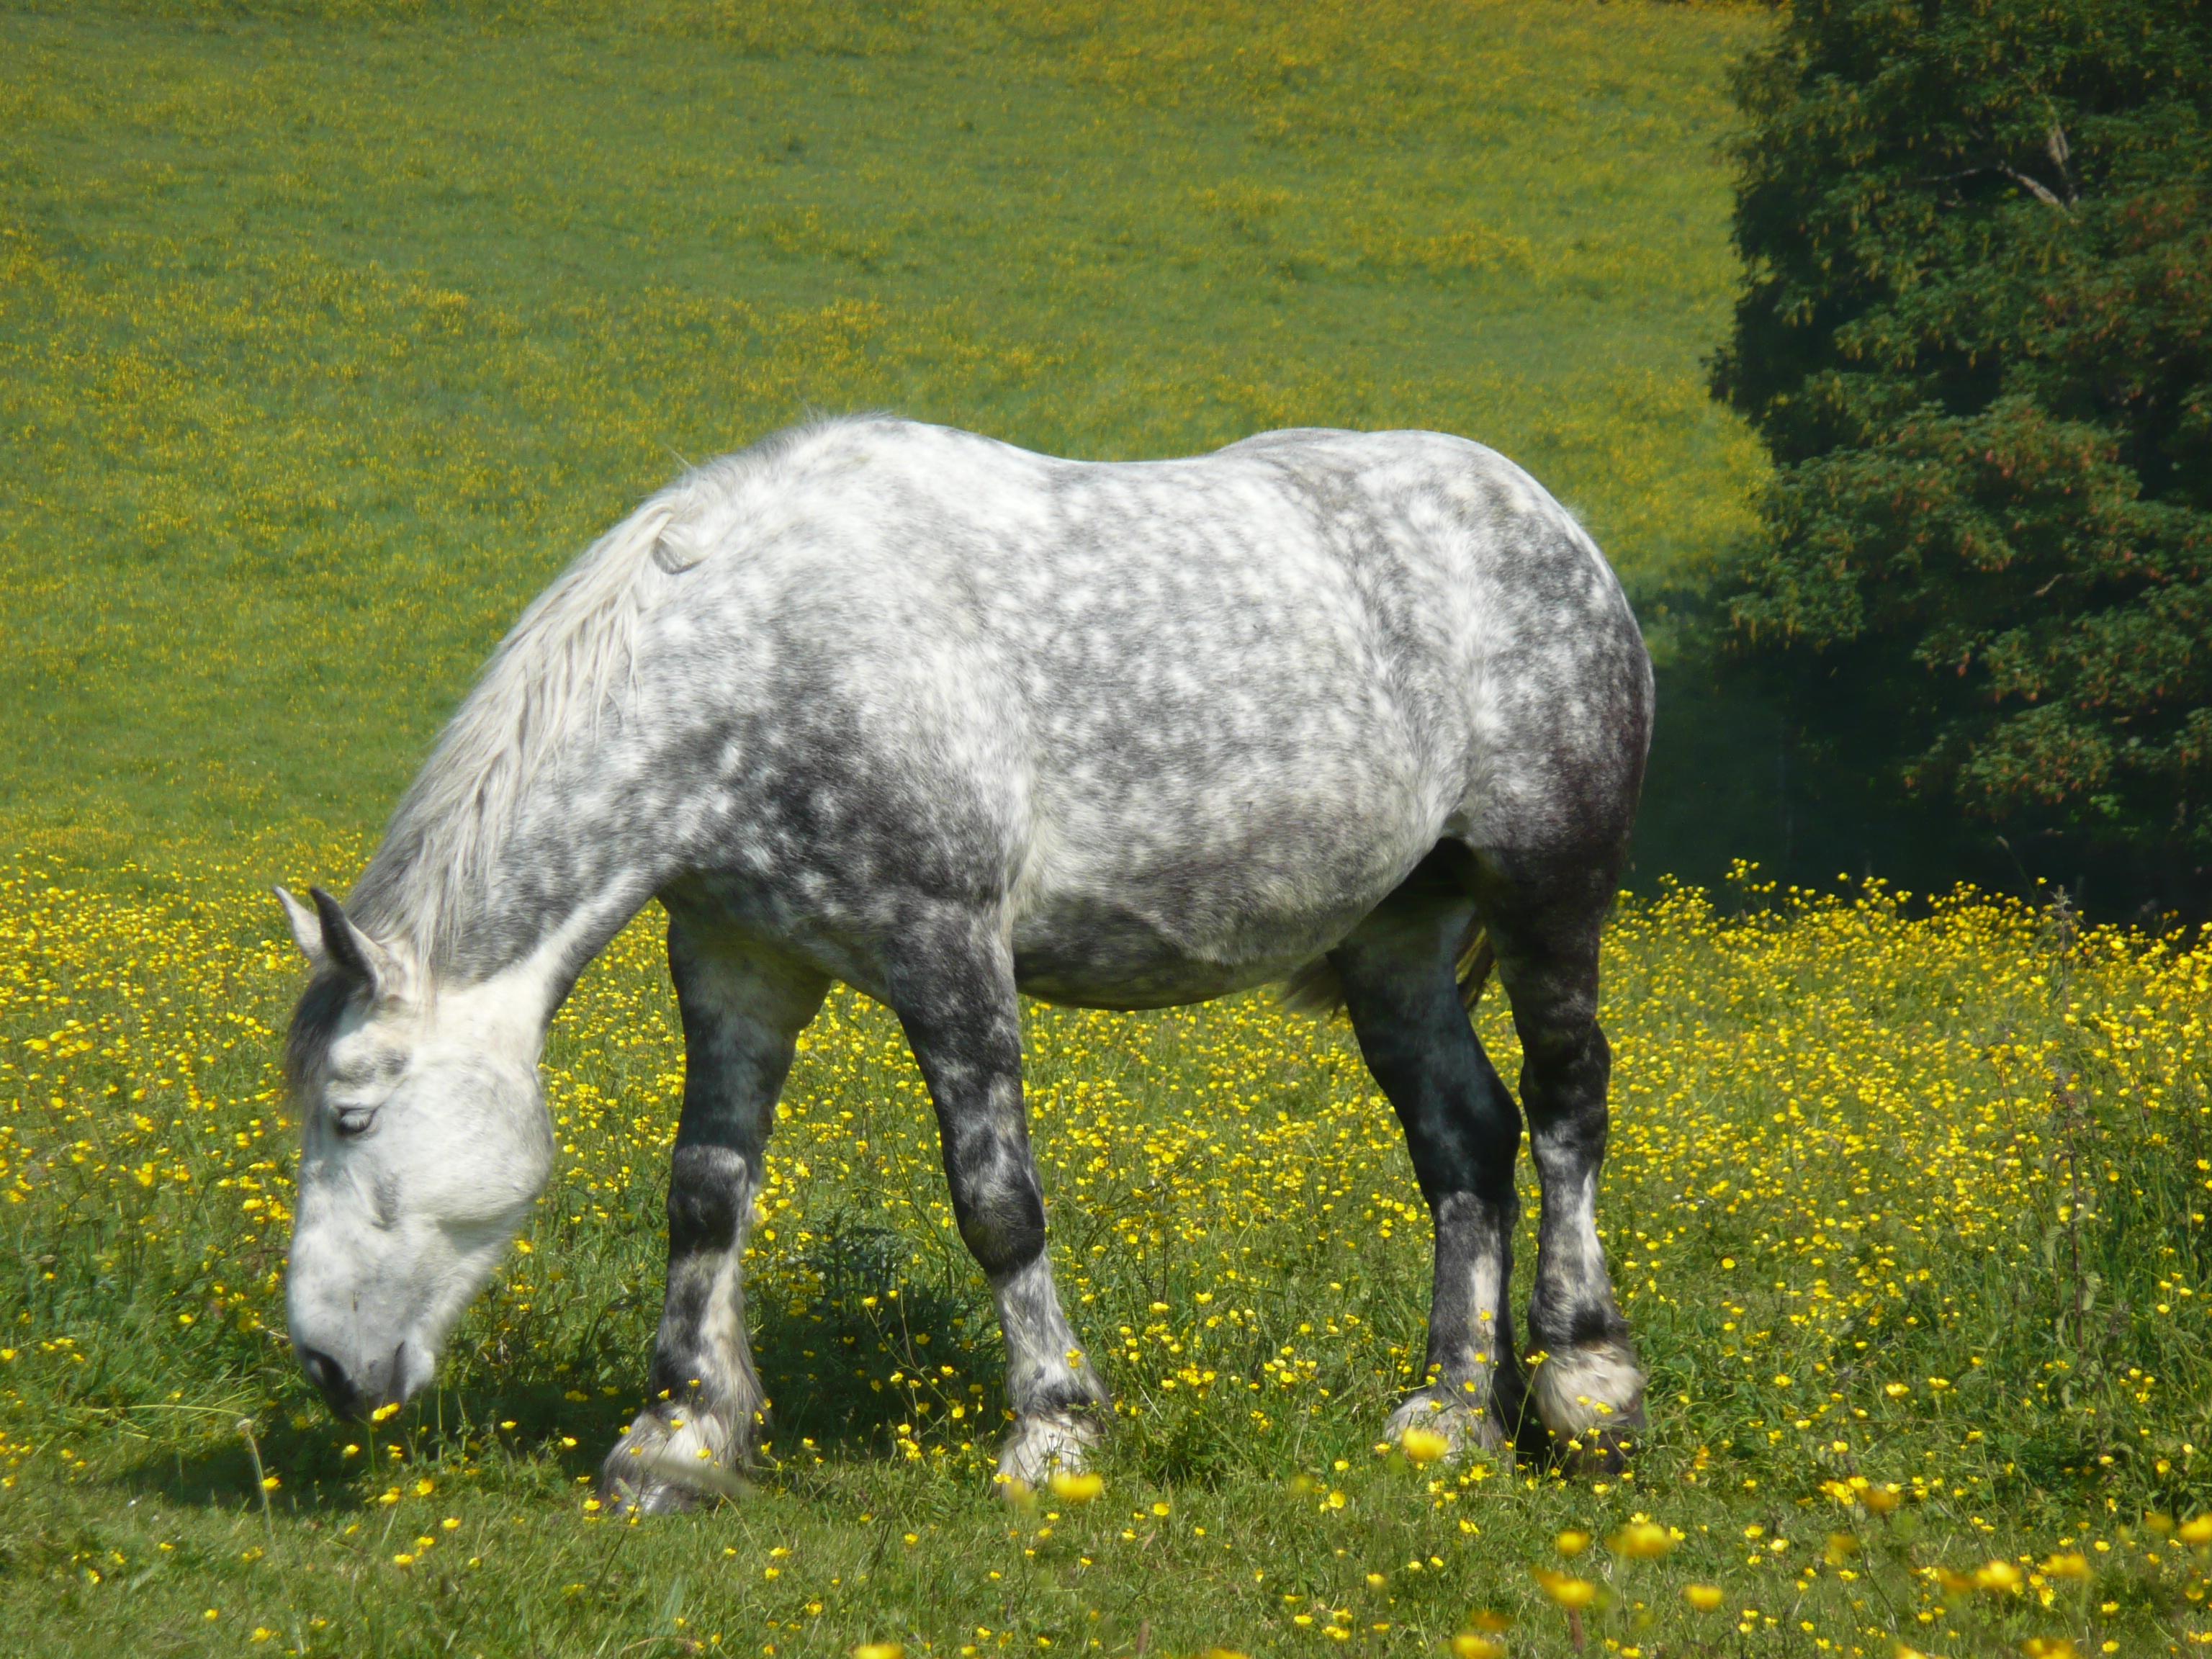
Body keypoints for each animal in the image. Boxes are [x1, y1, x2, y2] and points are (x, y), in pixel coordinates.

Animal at [276, 413, 1654, 1503]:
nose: (326, 1363)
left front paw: (1054, 1430)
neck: (766, 660)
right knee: (1465, 1141)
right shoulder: (736, 959)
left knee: (1565, 1103)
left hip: (1546, 890)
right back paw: (1453, 1414)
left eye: (349, 1115)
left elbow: (995, 1200)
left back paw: (1588, 1386)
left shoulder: (944, 949)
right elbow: (706, 1188)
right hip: (1394, 940)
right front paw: (677, 1436)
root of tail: (1551, 524)